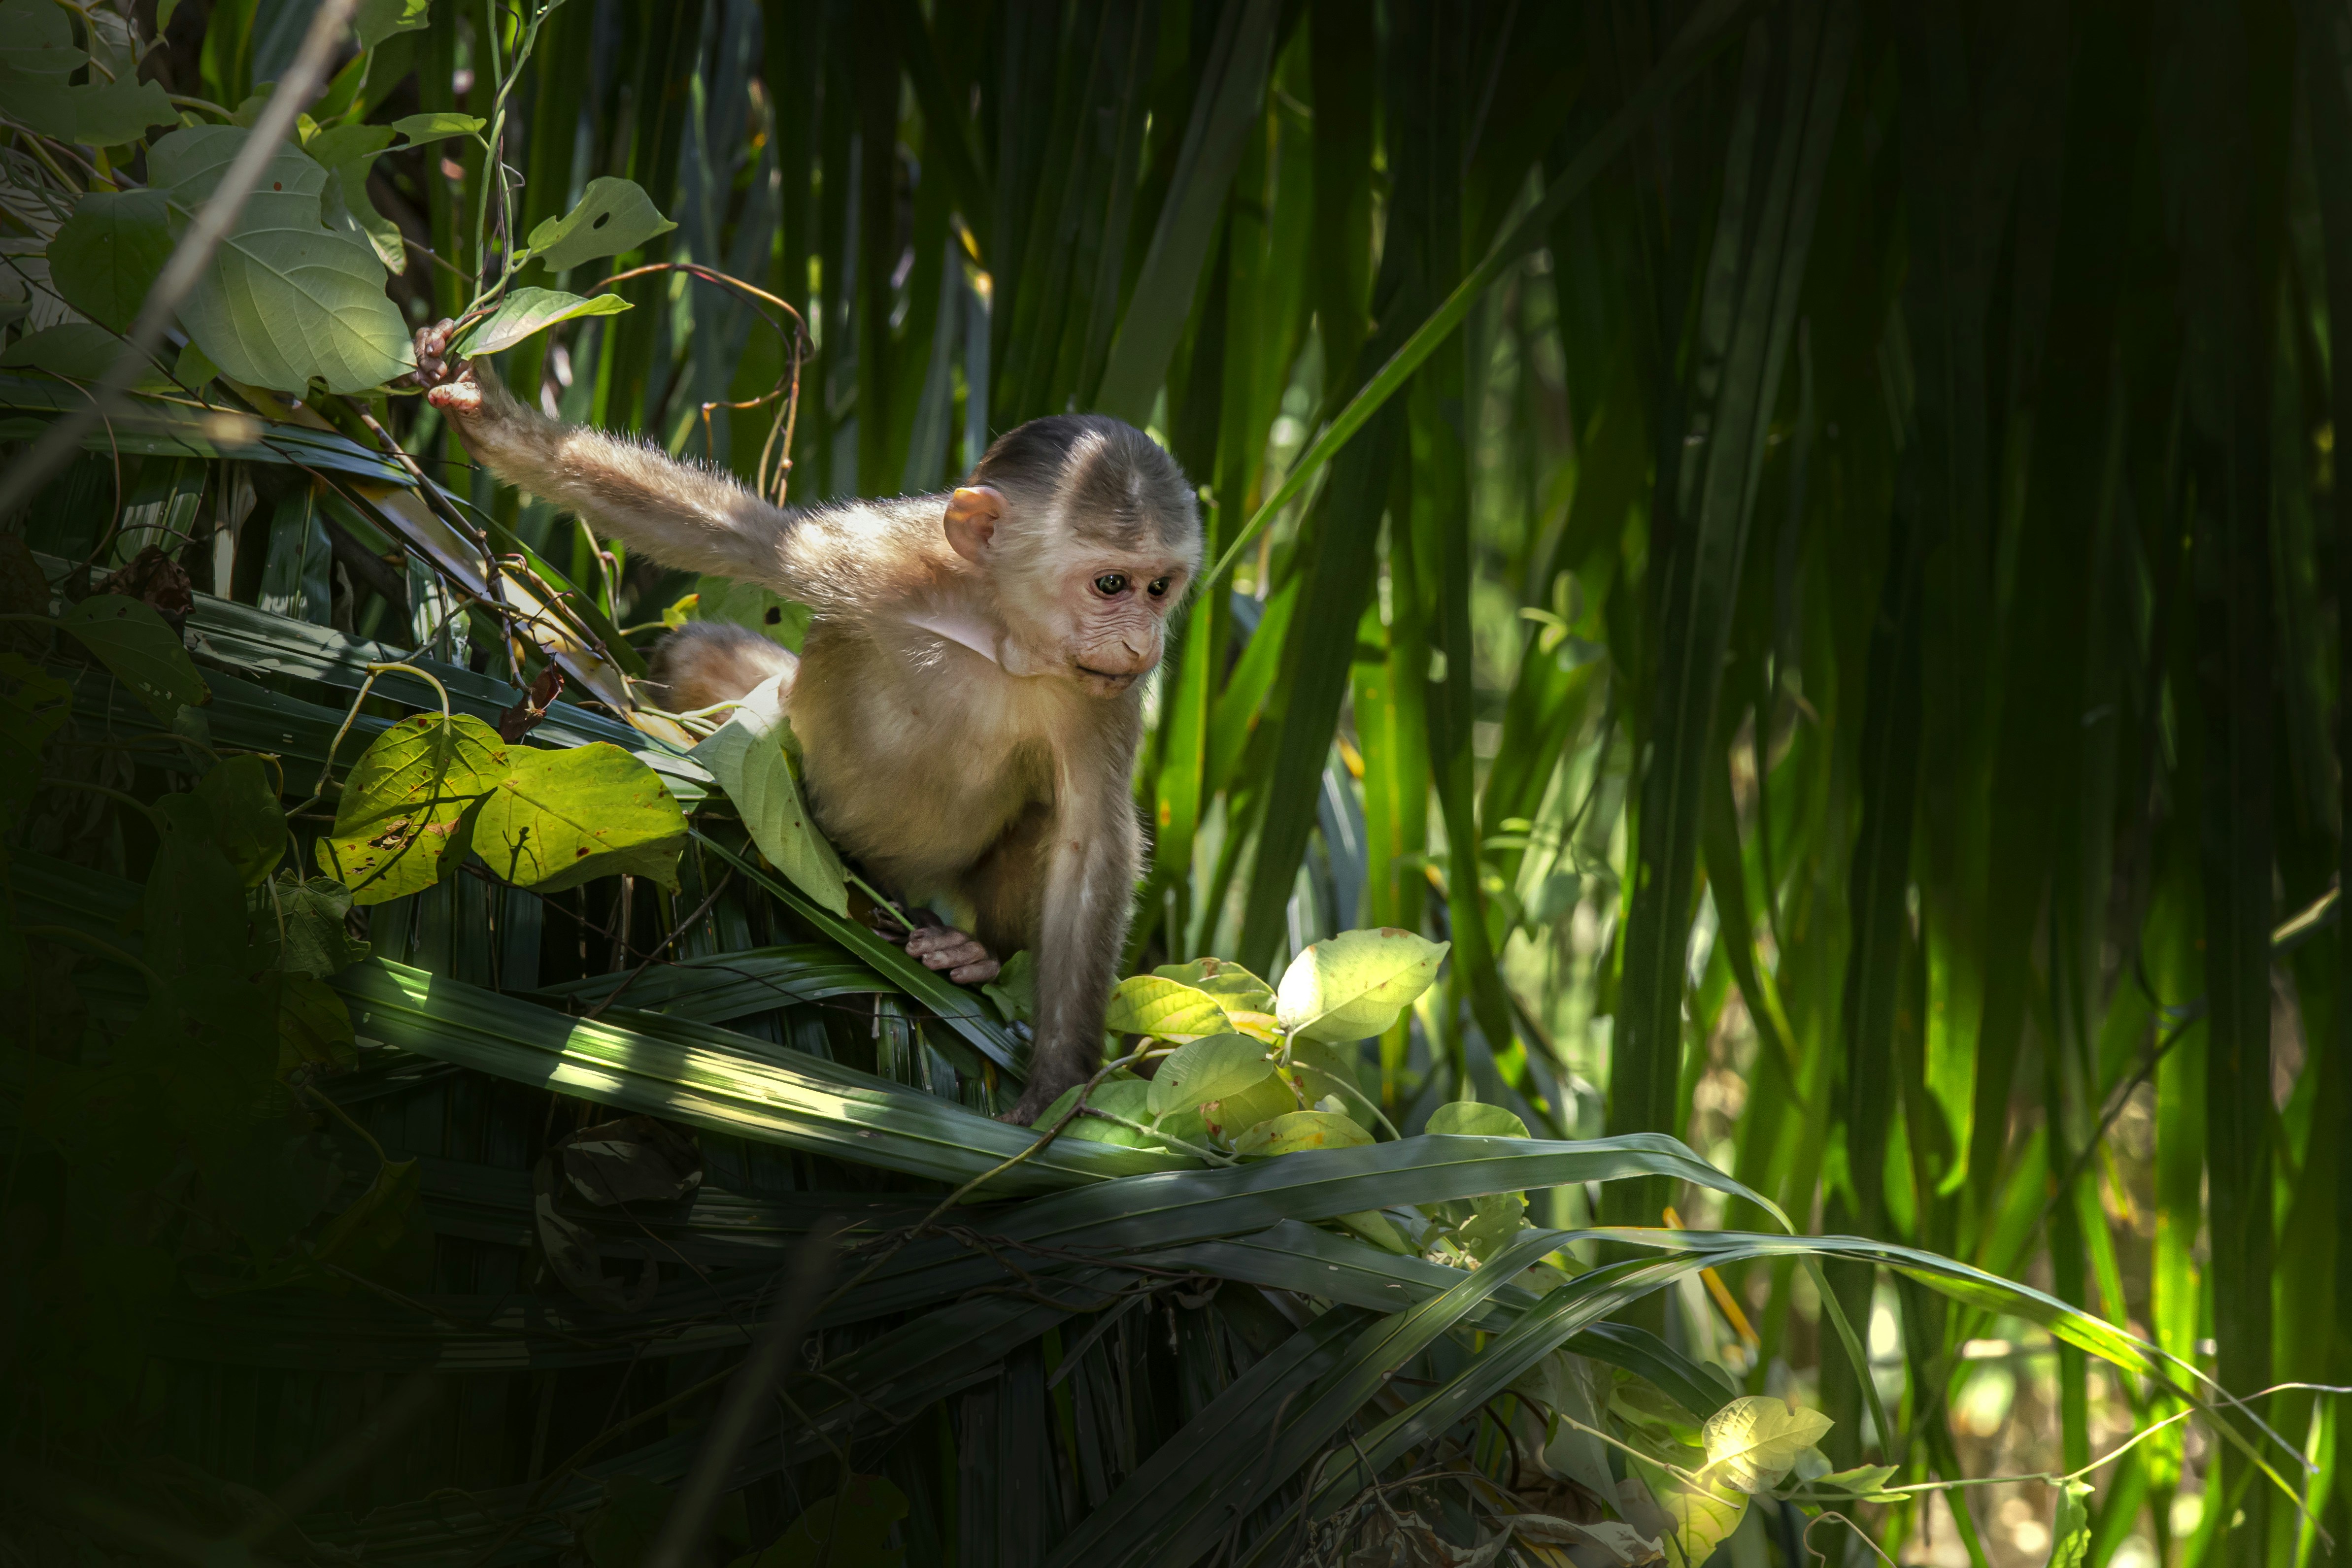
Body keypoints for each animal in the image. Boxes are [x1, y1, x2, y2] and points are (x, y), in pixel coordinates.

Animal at [406, 322, 1204, 1128]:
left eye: (1159, 588)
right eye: (1111, 584)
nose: (1142, 642)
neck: (997, 631)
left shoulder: (1105, 698)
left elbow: (1090, 842)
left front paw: (1058, 1083)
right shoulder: (875, 560)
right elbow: (747, 540)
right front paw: (490, 420)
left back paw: (974, 953)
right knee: (705, 654)